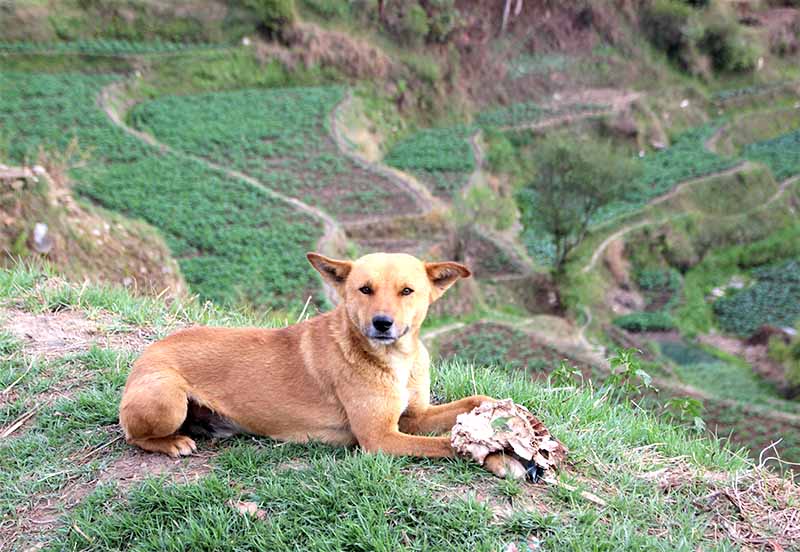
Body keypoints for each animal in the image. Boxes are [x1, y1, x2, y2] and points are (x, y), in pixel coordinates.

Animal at [119, 254, 512, 474]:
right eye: (364, 289)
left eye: (407, 291)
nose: (382, 323)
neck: (394, 359)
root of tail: (146, 354)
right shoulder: (380, 437)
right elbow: (449, 445)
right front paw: (499, 457)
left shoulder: (413, 417)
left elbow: (472, 402)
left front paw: (499, 412)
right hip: (168, 400)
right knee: (133, 436)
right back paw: (172, 443)